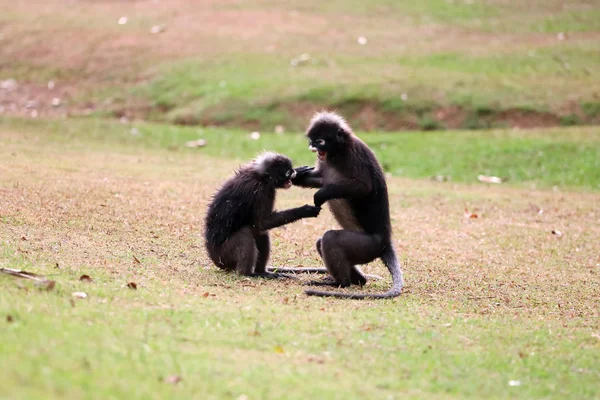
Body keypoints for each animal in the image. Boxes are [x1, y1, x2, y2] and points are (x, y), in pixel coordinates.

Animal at [290, 111, 404, 298]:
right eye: (312, 140)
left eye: (319, 141)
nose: (313, 147)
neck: (336, 152)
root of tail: (385, 242)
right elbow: (320, 178)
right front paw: (296, 174)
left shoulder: (352, 154)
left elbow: (364, 187)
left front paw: (321, 194)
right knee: (322, 242)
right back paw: (358, 280)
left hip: (366, 246)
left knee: (330, 238)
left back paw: (341, 283)